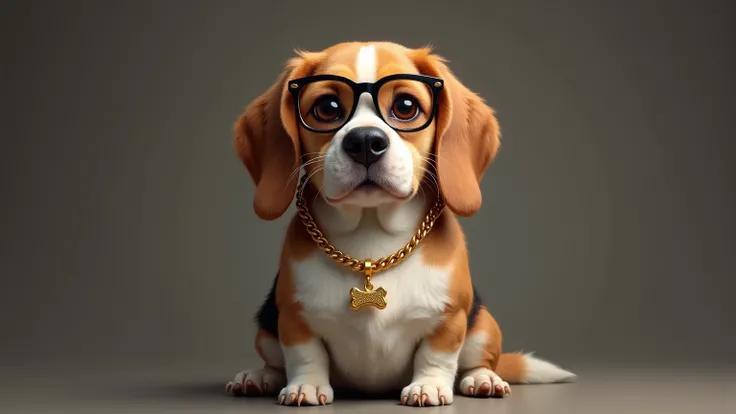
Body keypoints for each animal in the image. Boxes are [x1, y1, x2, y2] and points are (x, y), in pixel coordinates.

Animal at [226, 42, 576, 408]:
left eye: (406, 107)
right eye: (327, 108)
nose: (365, 141)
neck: (371, 239)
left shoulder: (451, 319)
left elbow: (436, 356)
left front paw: (427, 386)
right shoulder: (293, 318)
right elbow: (305, 355)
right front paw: (305, 386)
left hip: (483, 326)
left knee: (477, 361)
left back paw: (484, 379)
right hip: (265, 331)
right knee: (274, 361)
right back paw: (259, 377)